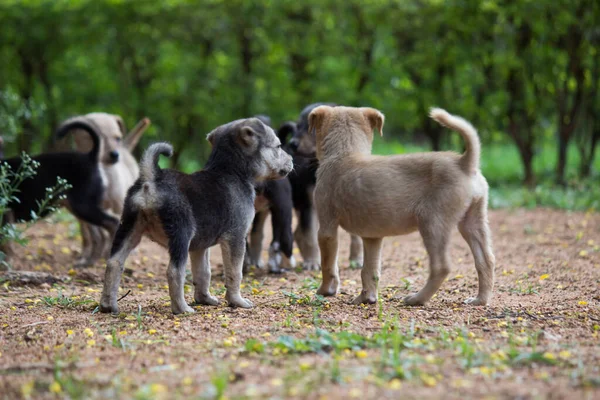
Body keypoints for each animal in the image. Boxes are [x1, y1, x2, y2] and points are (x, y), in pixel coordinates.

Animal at [0, 120, 119, 255]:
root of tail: (90, 157)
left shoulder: (6, 212)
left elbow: (5, 244)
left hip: (83, 206)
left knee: (112, 223)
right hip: (80, 208)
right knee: (100, 234)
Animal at [62, 112, 149, 268]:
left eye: (117, 138)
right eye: (94, 137)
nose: (115, 155)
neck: (105, 174)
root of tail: (125, 149)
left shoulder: (119, 206)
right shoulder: (86, 210)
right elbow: (92, 235)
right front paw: (88, 257)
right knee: (88, 234)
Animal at [100, 117, 292, 314]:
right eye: (278, 146)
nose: (291, 160)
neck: (231, 171)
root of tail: (151, 179)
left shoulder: (200, 247)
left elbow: (203, 273)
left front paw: (204, 299)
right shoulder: (236, 238)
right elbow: (234, 273)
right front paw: (236, 301)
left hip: (129, 229)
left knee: (114, 263)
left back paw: (108, 305)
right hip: (181, 235)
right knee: (174, 272)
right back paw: (182, 308)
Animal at [288, 103, 366, 268]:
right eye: (298, 126)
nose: (292, 143)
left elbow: (356, 237)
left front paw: (356, 259)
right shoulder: (309, 205)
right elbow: (310, 235)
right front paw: (312, 262)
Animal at [312, 105, 494, 306]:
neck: (345, 153)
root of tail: (464, 163)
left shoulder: (327, 228)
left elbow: (328, 264)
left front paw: (325, 291)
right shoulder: (372, 237)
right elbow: (369, 269)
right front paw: (367, 297)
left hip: (433, 224)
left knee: (442, 266)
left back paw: (417, 299)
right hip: (473, 221)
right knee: (486, 260)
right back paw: (480, 299)